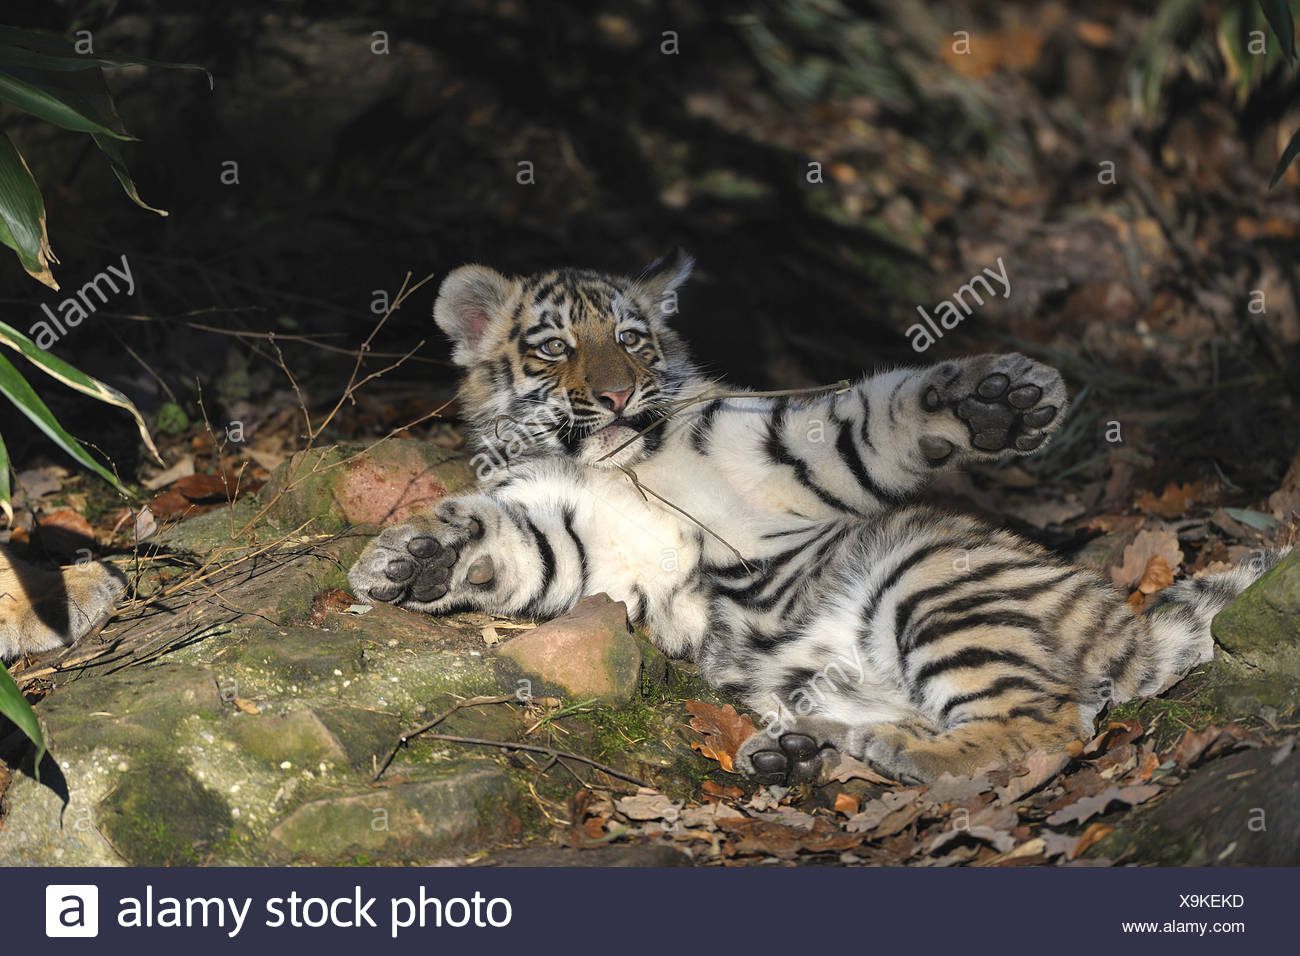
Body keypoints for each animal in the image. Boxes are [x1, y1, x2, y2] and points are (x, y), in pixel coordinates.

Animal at [347, 253, 1274, 784]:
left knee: (1047, 719)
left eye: (635, 341)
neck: (614, 460)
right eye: (553, 347)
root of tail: (1125, 621)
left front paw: (997, 402)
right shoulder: (583, 539)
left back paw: (896, 758)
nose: (614, 396)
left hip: (932, 580)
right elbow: (514, 545)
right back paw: (800, 751)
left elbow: (872, 416)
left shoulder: (783, 450)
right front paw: (412, 561)